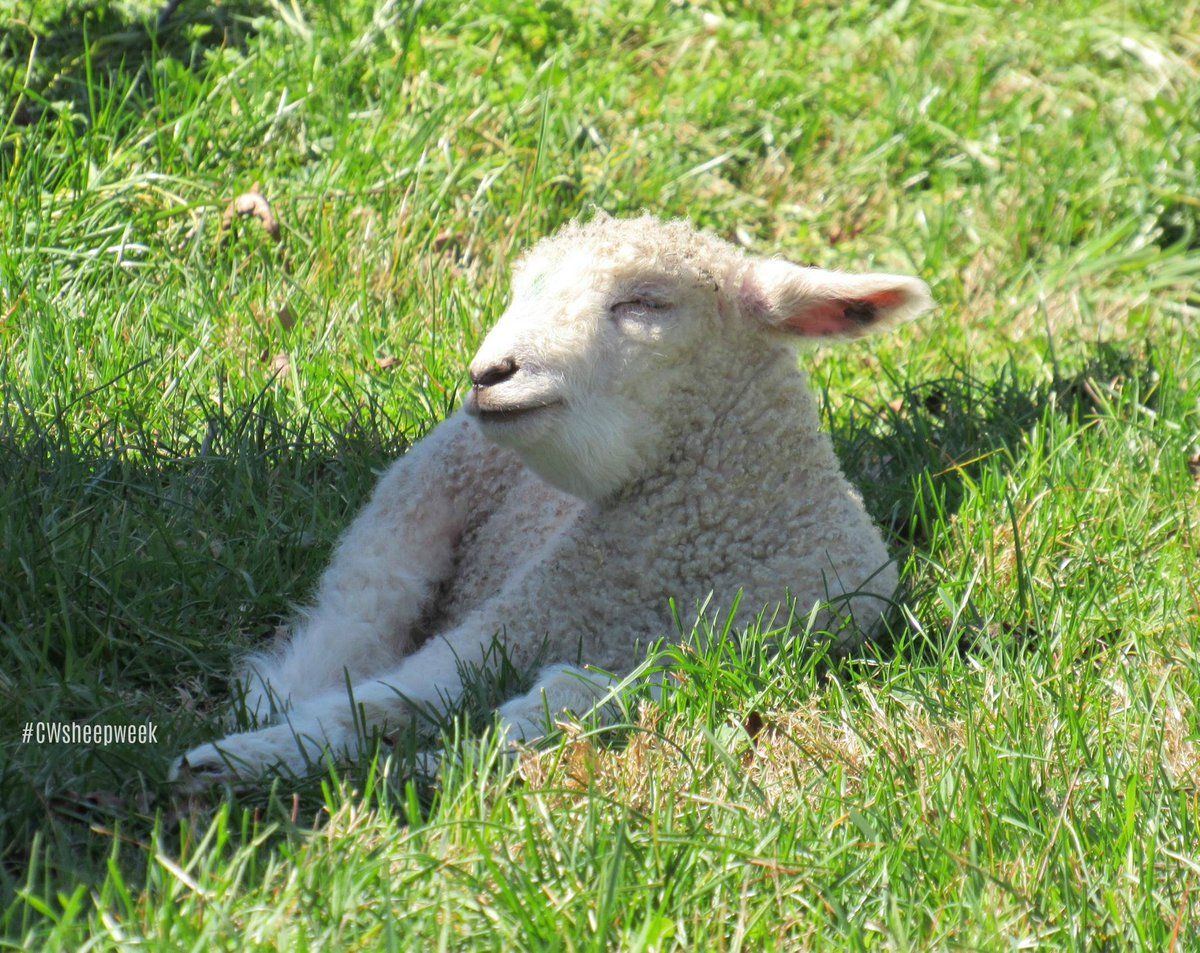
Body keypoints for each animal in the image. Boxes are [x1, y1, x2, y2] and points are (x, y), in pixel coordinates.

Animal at [171, 212, 932, 789]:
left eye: (645, 303)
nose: (489, 374)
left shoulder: (732, 658)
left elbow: (559, 703)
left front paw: (440, 764)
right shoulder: (500, 626)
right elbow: (390, 698)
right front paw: (250, 756)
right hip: (414, 497)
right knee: (357, 619)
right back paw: (269, 704)